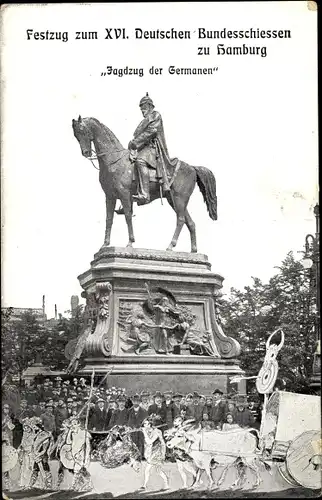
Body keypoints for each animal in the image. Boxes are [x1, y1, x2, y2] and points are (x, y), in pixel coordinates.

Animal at [72, 115, 218, 252]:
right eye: (76, 135)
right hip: (174, 200)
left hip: (179, 199)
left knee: (181, 219)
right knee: (190, 223)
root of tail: (193, 168)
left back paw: (171, 246)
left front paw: (130, 242)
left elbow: (128, 215)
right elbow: (109, 218)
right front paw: (105, 244)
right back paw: (193, 250)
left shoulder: (124, 194)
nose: (86, 153)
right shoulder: (110, 196)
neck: (114, 161)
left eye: (82, 130)